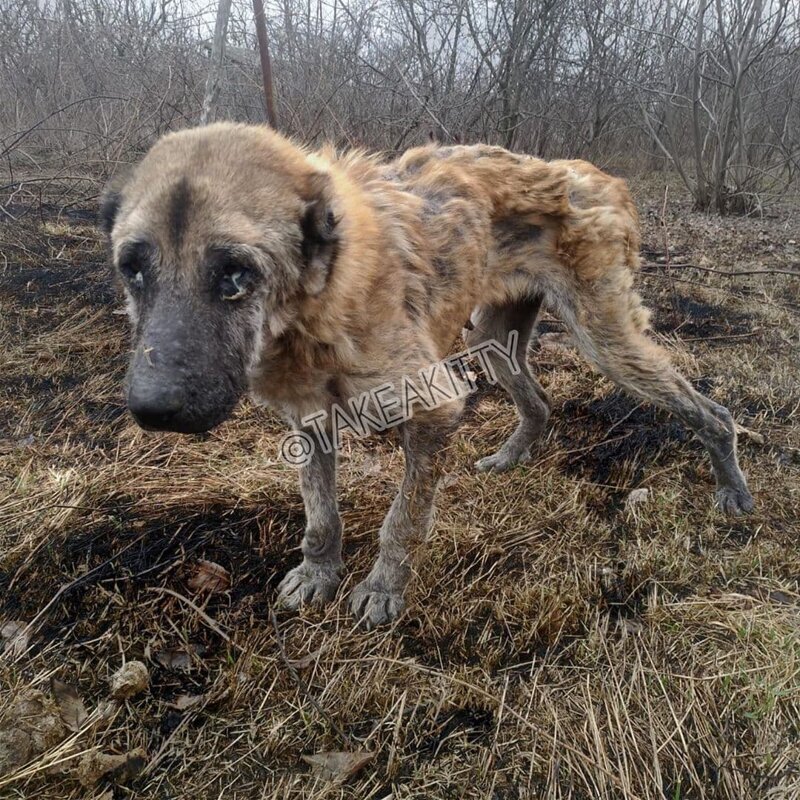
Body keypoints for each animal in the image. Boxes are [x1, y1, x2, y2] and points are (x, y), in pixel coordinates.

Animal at [98, 123, 752, 624]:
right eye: (132, 269)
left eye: (235, 274)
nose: (152, 411)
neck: (322, 300)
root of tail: (598, 176)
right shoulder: (309, 421)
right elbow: (320, 513)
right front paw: (319, 572)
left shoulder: (434, 407)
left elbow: (403, 520)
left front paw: (382, 589)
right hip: (491, 337)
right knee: (540, 402)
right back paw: (510, 458)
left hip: (606, 339)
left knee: (712, 411)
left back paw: (732, 490)